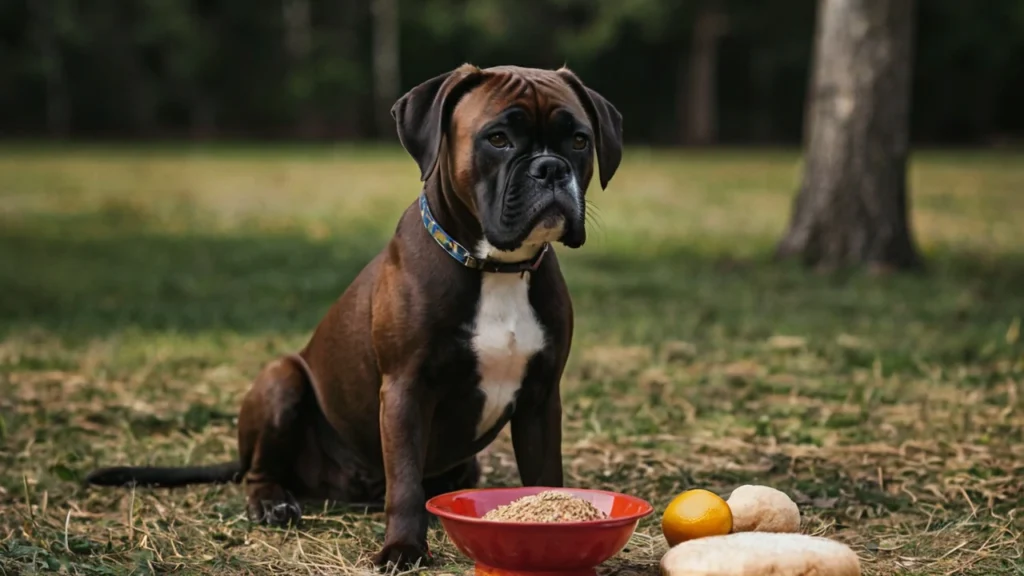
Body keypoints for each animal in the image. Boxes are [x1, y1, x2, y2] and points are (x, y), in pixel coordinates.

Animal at [83, 65, 618, 565]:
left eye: (578, 140)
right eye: (498, 138)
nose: (550, 168)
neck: (496, 269)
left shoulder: (540, 400)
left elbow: (546, 477)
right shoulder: (405, 389)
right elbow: (405, 484)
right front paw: (403, 549)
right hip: (281, 379)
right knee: (263, 470)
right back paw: (272, 502)